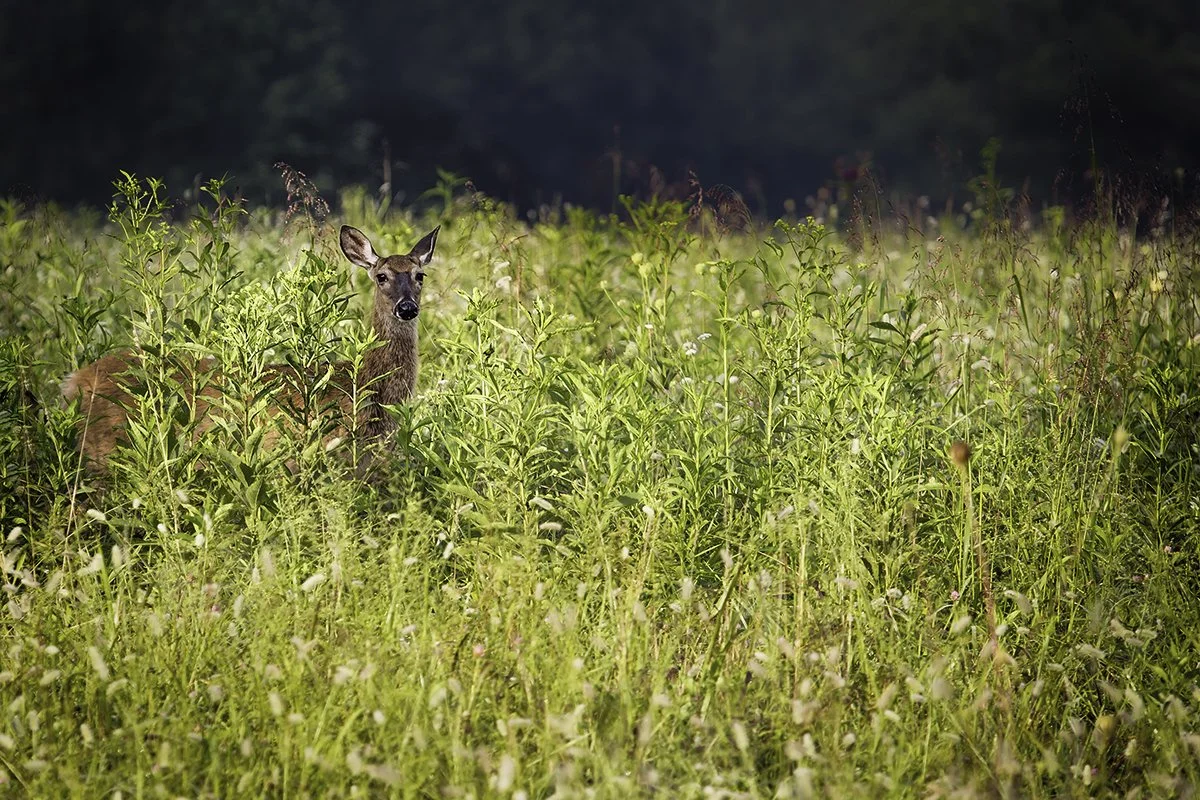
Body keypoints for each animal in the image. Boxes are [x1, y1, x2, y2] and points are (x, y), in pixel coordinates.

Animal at [61, 224, 440, 470]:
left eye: (419, 276)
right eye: (382, 276)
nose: (407, 307)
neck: (368, 386)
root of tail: (75, 381)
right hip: (103, 451)